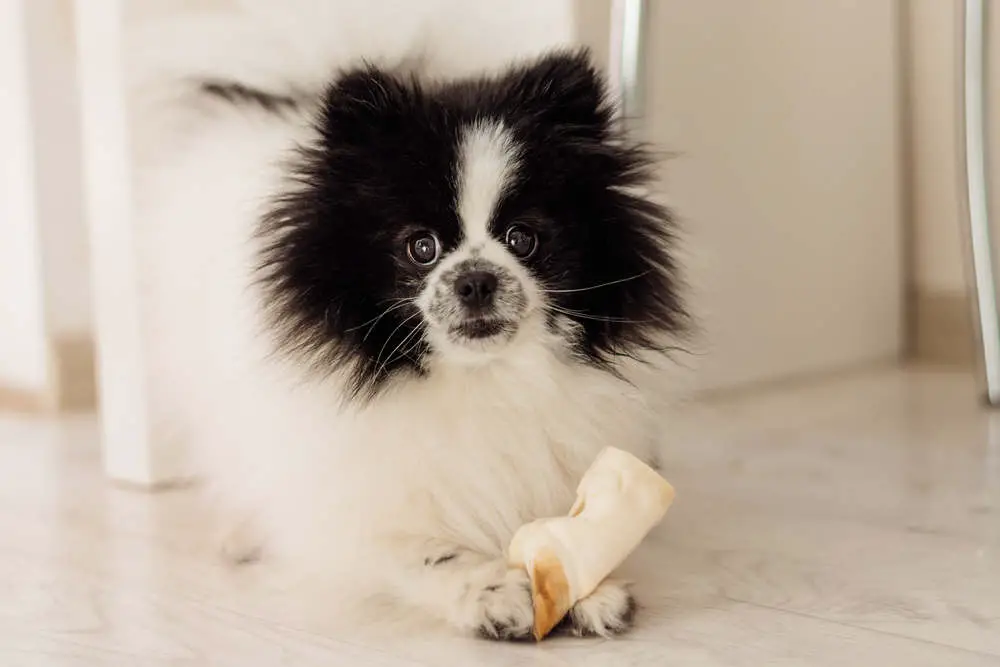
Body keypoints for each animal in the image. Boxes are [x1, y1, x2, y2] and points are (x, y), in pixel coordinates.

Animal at [135, 17, 688, 636]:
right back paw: (243, 534)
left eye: (524, 238)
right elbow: (420, 552)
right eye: (421, 247)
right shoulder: (363, 508)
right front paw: (489, 589)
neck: (479, 381)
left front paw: (587, 586)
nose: (475, 280)